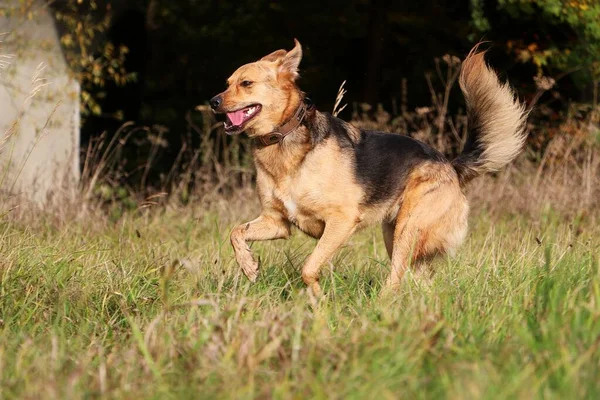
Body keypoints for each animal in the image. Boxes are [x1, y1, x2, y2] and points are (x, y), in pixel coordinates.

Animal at [209, 39, 528, 296]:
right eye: (227, 83)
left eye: (246, 84)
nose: (212, 101)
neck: (284, 141)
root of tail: (451, 166)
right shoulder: (277, 222)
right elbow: (236, 233)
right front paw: (248, 265)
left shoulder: (341, 221)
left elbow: (309, 268)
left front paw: (319, 302)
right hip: (396, 235)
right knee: (418, 281)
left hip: (407, 231)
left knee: (395, 280)